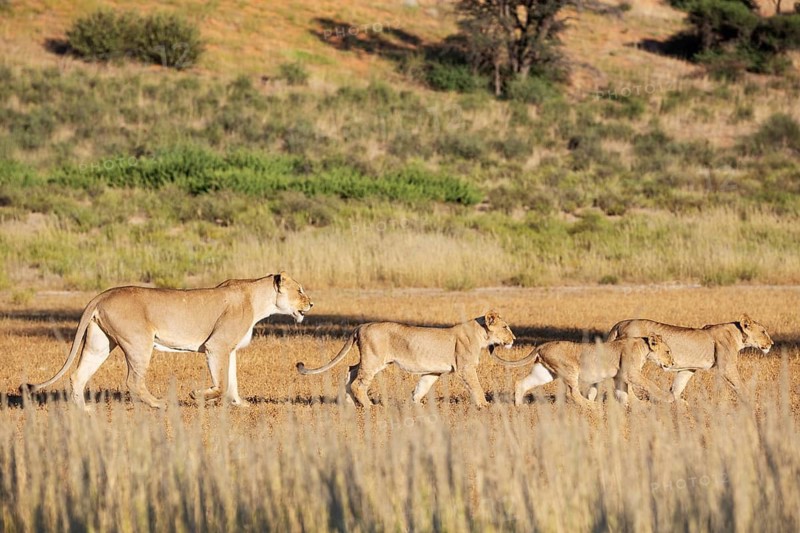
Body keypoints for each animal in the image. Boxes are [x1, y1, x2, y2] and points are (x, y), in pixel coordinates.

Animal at [22, 272, 313, 410]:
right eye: (300, 290)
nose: (311, 303)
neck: (259, 301)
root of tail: (104, 294)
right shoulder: (215, 346)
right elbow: (220, 384)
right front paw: (197, 395)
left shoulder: (227, 350)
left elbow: (231, 381)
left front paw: (239, 404)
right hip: (139, 343)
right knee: (133, 382)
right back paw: (160, 404)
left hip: (99, 344)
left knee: (77, 375)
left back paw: (83, 411)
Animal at [296, 311, 516, 407]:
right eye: (505, 327)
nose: (514, 339)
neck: (481, 334)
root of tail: (361, 326)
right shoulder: (465, 368)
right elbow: (476, 386)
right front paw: (484, 405)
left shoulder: (433, 370)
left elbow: (422, 386)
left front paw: (415, 403)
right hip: (374, 360)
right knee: (358, 383)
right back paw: (369, 406)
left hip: (371, 360)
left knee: (351, 371)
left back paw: (349, 403)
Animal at [491, 334, 675, 407]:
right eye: (667, 351)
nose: (672, 362)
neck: (643, 347)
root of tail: (543, 345)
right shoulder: (631, 373)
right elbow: (649, 384)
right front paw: (668, 397)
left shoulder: (620, 376)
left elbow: (623, 392)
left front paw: (635, 405)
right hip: (570, 370)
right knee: (573, 394)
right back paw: (593, 406)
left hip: (544, 373)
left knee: (521, 383)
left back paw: (519, 405)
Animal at [606, 314, 773, 402]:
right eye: (763, 331)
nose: (772, 343)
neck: (738, 335)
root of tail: (620, 323)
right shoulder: (726, 367)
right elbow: (739, 384)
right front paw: (751, 400)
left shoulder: (689, 368)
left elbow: (678, 385)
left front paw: (677, 402)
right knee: (627, 381)